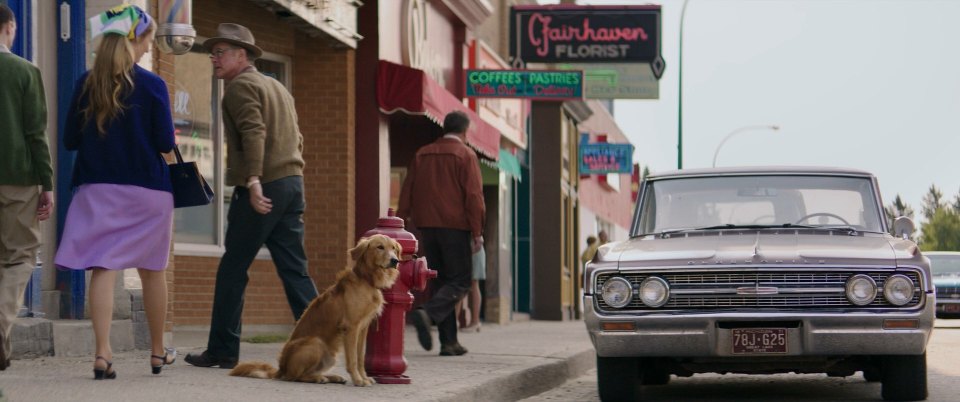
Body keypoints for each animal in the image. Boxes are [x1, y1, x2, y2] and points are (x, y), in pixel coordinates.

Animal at [232, 236, 402, 386]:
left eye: (393, 248)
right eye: (380, 247)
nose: (395, 260)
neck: (366, 280)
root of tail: (281, 368)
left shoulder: (363, 329)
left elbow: (360, 358)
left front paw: (364, 377)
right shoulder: (351, 328)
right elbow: (353, 359)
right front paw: (359, 380)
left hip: (330, 355)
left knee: (307, 372)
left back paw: (331, 377)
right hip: (316, 343)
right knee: (296, 376)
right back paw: (319, 378)